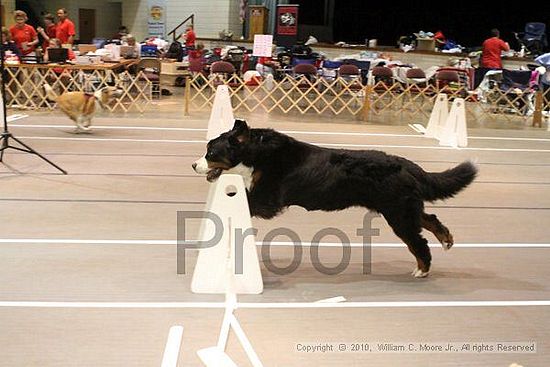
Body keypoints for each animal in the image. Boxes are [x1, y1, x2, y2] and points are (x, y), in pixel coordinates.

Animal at [194, 121, 478, 278]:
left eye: (211, 153)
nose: (194, 165)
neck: (256, 154)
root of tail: (408, 165)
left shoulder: (268, 197)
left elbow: (248, 200)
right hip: (403, 208)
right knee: (429, 218)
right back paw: (446, 239)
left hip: (398, 213)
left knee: (418, 242)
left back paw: (422, 269)